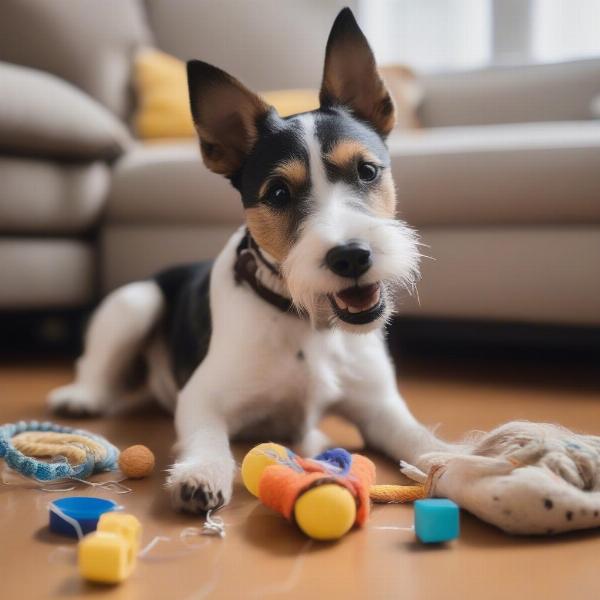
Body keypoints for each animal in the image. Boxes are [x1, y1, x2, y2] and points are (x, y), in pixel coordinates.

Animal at [48, 7, 450, 512]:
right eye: (278, 193)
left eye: (366, 170)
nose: (352, 257)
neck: (307, 324)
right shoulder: (202, 395)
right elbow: (208, 436)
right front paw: (202, 472)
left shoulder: (380, 408)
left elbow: (420, 440)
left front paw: (465, 463)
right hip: (134, 303)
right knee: (96, 364)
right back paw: (83, 396)